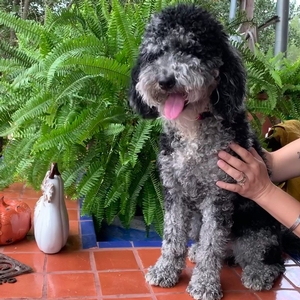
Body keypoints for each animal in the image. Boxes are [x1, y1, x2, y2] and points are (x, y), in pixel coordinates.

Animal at [129, 4, 290, 300]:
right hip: (197, 220)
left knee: (272, 259)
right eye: (156, 53)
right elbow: (172, 235)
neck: (193, 127)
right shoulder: (175, 191)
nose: (165, 80)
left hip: (258, 230)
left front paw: (205, 284)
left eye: (191, 49)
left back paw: (258, 273)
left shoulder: (220, 194)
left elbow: (212, 244)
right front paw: (166, 270)